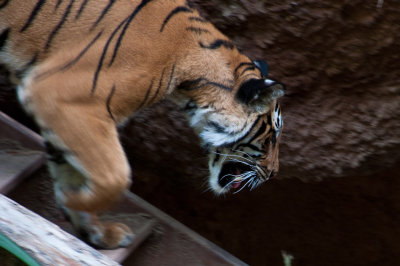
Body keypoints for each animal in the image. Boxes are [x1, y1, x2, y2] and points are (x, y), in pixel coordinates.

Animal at [0, 0, 284, 249]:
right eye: (272, 137)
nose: (274, 173)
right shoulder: (59, 96)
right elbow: (116, 176)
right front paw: (70, 198)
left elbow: (70, 170)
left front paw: (98, 231)